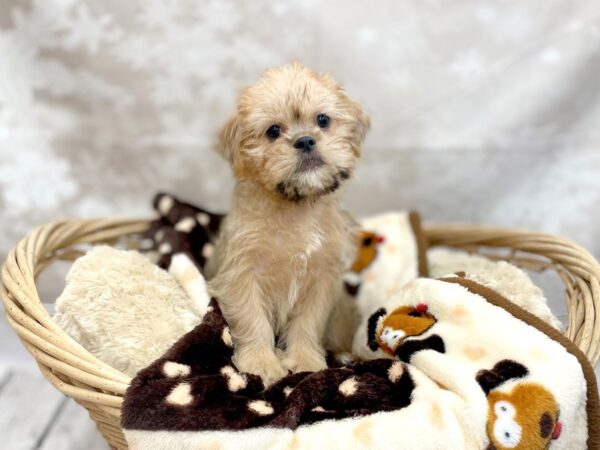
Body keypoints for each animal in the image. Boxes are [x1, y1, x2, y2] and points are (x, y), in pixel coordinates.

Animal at [207, 62, 370, 384]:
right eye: (273, 131)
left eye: (322, 120)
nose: (305, 140)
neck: (296, 208)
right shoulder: (242, 276)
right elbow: (252, 320)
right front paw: (261, 363)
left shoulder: (321, 279)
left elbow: (308, 323)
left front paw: (305, 361)